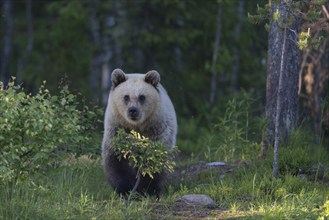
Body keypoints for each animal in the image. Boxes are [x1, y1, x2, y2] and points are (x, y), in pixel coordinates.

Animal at [101, 68, 177, 196]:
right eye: (126, 97)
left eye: (142, 97)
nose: (133, 110)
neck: (137, 127)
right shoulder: (117, 132)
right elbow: (116, 162)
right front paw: (125, 190)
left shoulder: (157, 133)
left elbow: (154, 164)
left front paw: (148, 190)